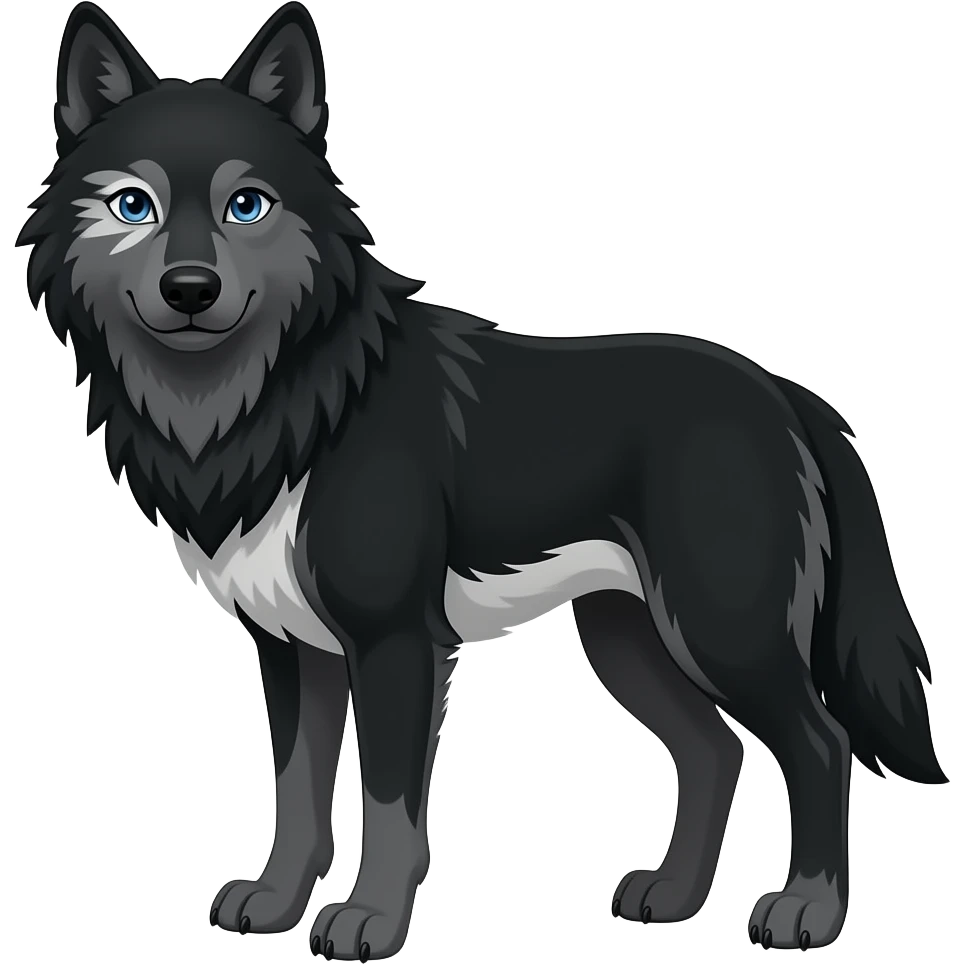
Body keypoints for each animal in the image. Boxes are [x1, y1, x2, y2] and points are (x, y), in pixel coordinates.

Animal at [19, 2, 946, 959]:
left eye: (247, 205)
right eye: (134, 204)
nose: (190, 289)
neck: (283, 398)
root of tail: (786, 393)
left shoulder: (394, 642)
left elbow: (389, 801)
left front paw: (369, 920)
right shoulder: (290, 648)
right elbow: (299, 791)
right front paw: (276, 904)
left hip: (721, 629)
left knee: (819, 742)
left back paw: (806, 910)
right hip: (627, 637)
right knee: (713, 750)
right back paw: (671, 896)